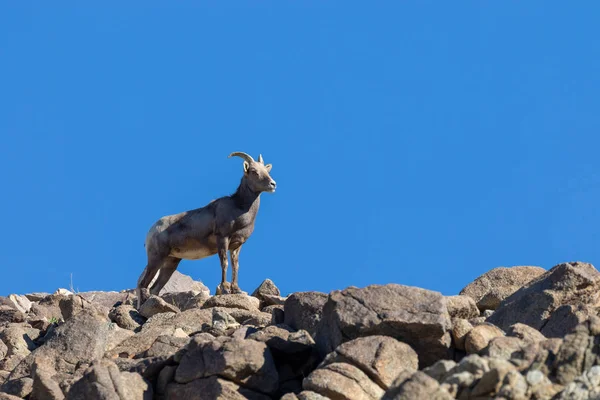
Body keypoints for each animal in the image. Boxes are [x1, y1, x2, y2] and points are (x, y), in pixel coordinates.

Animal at [136, 152, 276, 308]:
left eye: (267, 171)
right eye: (253, 171)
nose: (273, 184)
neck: (239, 208)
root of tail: (151, 231)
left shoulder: (236, 246)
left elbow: (236, 265)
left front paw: (237, 290)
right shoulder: (223, 239)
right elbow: (225, 263)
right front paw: (225, 290)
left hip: (170, 263)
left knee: (154, 288)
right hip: (156, 259)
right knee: (143, 284)